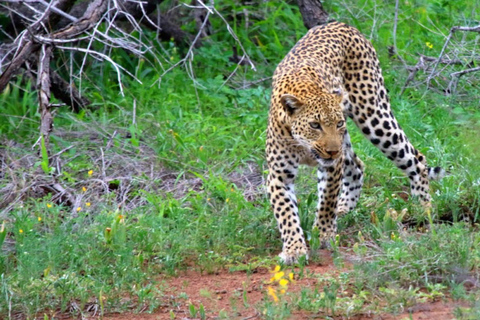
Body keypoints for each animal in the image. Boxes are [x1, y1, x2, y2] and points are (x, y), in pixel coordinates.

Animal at [264, 21, 444, 264]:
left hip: (374, 116)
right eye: (315, 125)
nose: (332, 151)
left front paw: (323, 234)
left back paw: (422, 207)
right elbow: (286, 213)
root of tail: (341, 23)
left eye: (338, 123)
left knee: (416, 158)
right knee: (357, 165)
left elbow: (327, 201)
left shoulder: (332, 166)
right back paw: (344, 208)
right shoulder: (278, 174)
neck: (304, 147)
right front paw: (294, 250)